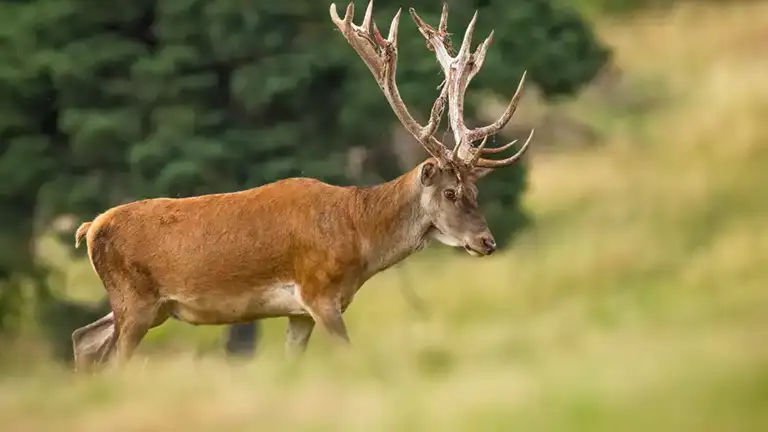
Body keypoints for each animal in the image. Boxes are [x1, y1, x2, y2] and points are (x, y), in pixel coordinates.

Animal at [70, 0, 536, 372]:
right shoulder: (318, 293)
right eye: (450, 192)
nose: (487, 241)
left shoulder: (299, 313)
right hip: (135, 300)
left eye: (475, 191)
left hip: (149, 307)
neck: (358, 235)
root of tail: (89, 229)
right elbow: (348, 352)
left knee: (83, 338)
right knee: (111, 357)